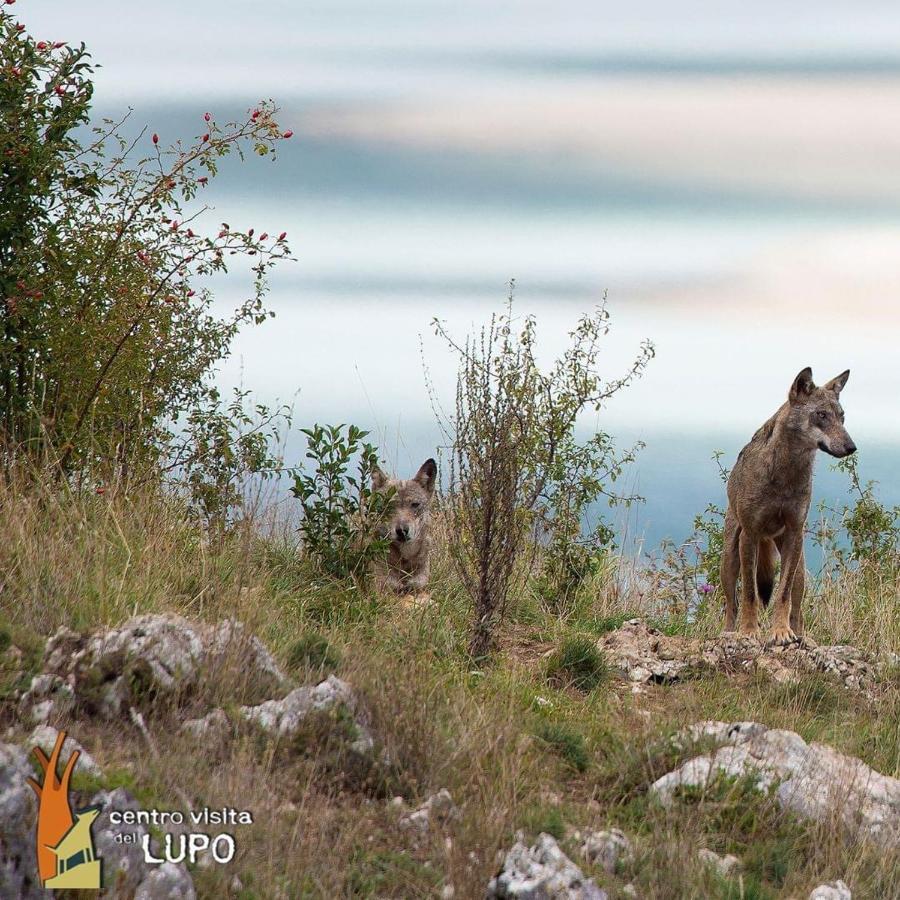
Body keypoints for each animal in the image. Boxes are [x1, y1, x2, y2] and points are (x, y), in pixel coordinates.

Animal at [716, 370, 856, 644]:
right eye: (821, 415)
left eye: (842, 417)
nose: (851, 447)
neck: (785, 474)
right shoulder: (750, 535)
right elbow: (749, 594)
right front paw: (749, 631)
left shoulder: (794, 533)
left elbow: (782, 595)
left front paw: (781, 632)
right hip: (730, 557)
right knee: (732, 605)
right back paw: (728, 633)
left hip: (799, 569)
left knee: (797, 608)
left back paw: (801, 636)